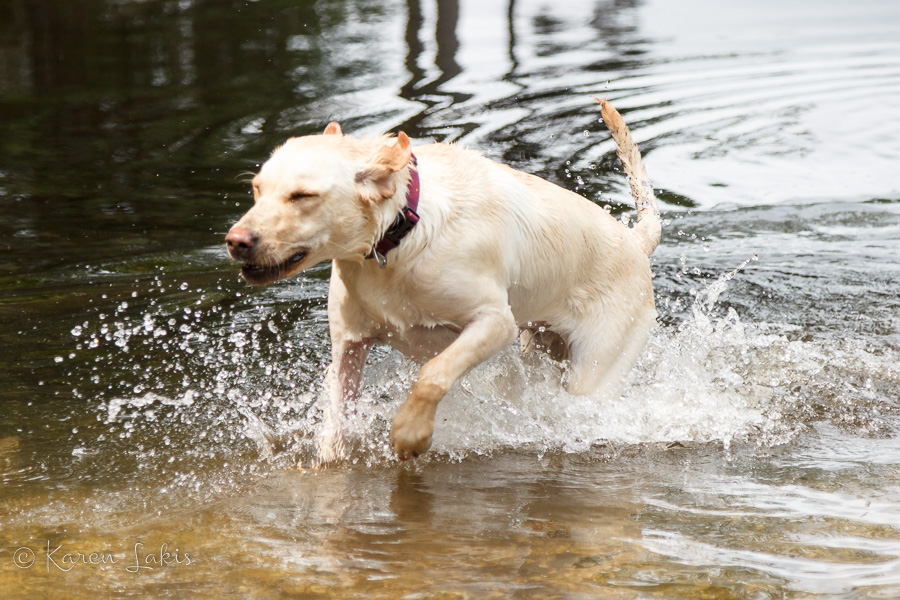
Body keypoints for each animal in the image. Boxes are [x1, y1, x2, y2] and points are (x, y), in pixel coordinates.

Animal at [225, 101, 660, 462]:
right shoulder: (348, 346)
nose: (235, 241)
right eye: (256, 189)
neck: (399, 237)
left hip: (593, 373)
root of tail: (636, 242)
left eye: (303, 196)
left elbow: (433, 373)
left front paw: (409, 433)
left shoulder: (495, 323)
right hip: (540, 348)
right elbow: (336, 417)